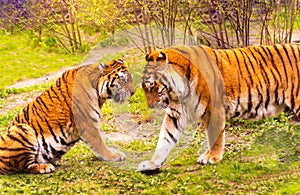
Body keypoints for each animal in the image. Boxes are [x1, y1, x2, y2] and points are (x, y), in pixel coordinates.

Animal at [0, 59, 135, 174]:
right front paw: (113, 156)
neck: (97, 89)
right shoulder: (88, 123)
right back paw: (45, 167)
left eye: (131, 79)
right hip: (22, 128)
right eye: (123, 80)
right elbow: (100, 143)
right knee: (24, 166)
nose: (133, 92)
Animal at [138, 43, 300, 172]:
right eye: (144, 88)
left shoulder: (213, 109)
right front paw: (152, 164)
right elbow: (165, 138)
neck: (177, 92)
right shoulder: (176, 114)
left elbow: (214, 136)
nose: (151, 106)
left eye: (151, 85)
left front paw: (211, 157)